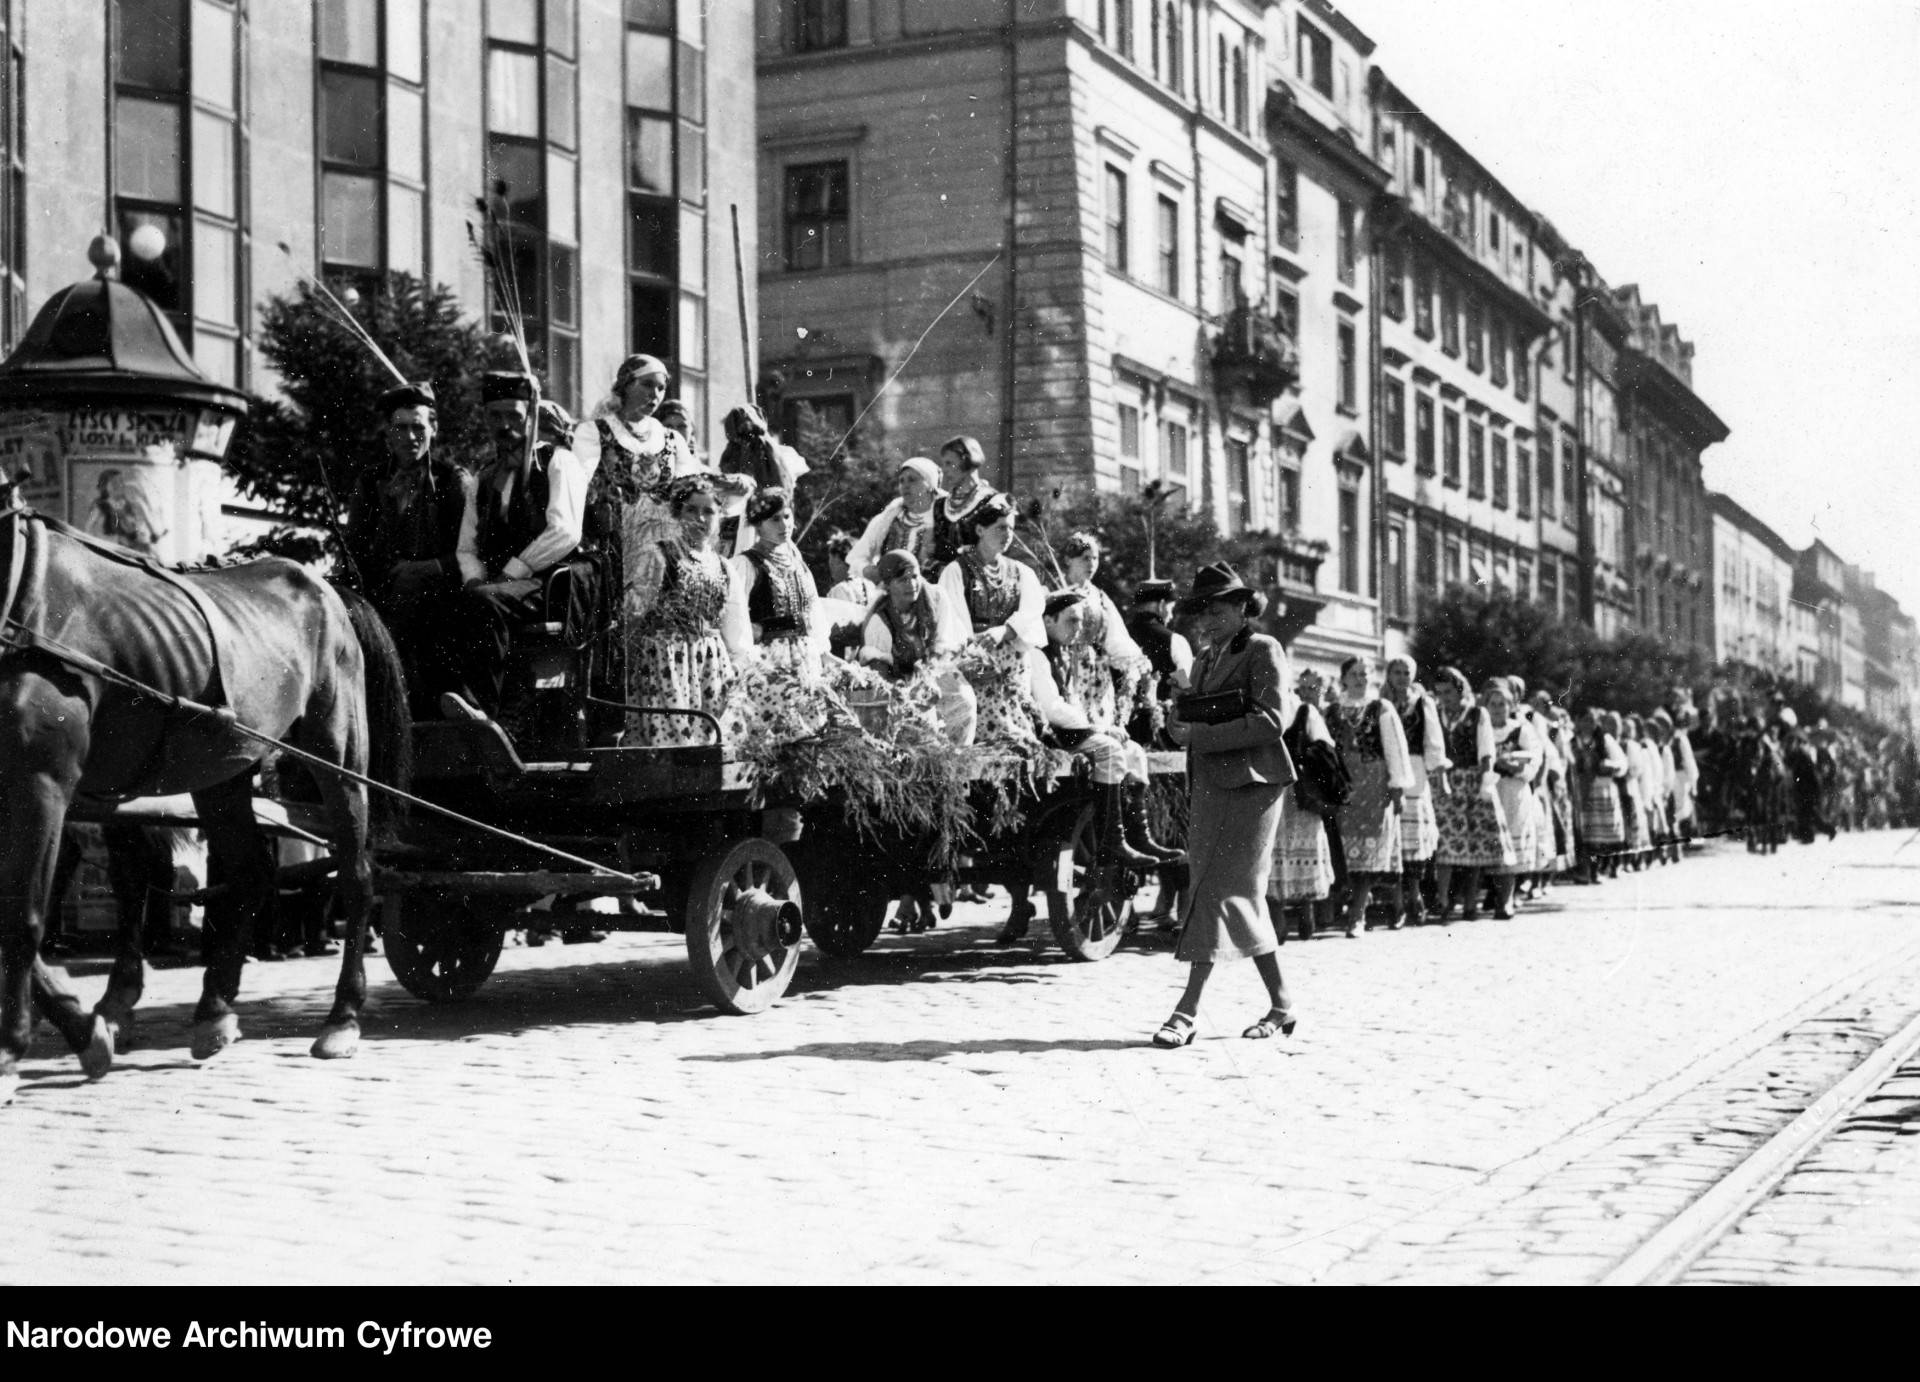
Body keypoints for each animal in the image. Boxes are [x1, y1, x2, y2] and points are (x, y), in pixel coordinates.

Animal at [1, 502, 408, 1105]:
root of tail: (329, 588)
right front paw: (88, 1027)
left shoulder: (40, 782)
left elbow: (21, 916)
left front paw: (17, 1049)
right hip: (225, 769)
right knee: (249, 872)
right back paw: (214, 1009)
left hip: (338, 752)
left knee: (355, 875)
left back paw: (342, 1017)